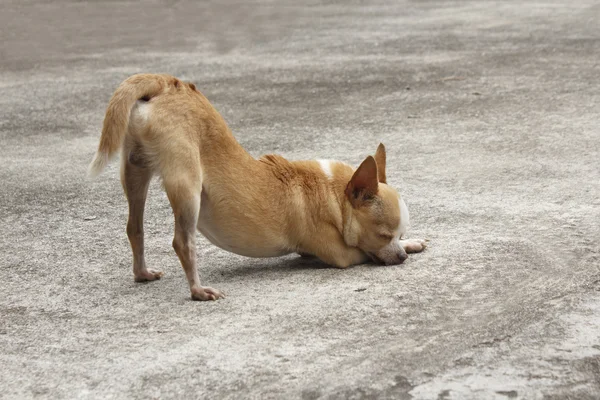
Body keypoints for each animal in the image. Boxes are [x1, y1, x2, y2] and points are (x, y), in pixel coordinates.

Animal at [89, 74, 426, 300]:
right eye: (383, 235)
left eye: (399, 235)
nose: (402, 257)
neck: (333, 191)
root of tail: (167, 83)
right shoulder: (340, 255)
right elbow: (362, 253)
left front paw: (413, 243)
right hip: (187, 184)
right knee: (182, 241)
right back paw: (197, 290)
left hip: (136, 171)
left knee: (134, 228)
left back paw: (142, 273)